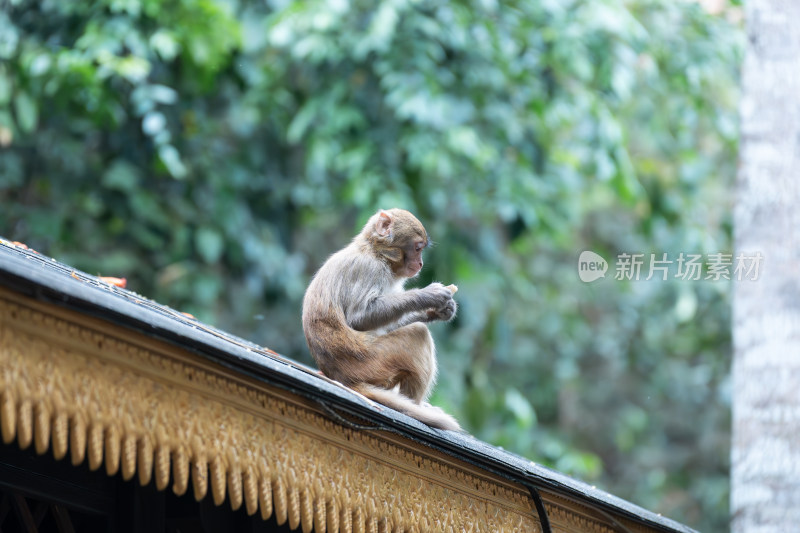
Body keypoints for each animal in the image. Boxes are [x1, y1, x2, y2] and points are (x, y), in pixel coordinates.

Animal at [302, 206, 462, 430]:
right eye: (417, 248)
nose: (421, 263)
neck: (376, 253)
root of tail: (343, 378)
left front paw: (439, 311)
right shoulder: (369, 268)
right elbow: (359, 317)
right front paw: (428, 295)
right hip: (371, 362)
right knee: (418, 335)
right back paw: (415, 406)